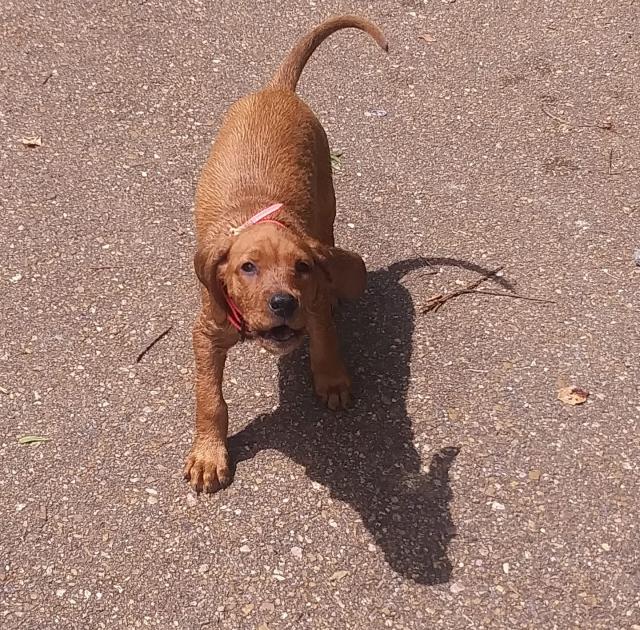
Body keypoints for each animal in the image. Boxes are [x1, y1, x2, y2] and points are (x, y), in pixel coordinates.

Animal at [184, 15, 388, 493]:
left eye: (302, 268)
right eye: (247, 268)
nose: (283, 303)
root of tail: (277, 89)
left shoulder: (312, 301)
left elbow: (325, 336)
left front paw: (331, 378)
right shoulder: (206, 332)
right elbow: (209, 398)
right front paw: (208, 454)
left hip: (327, 191)